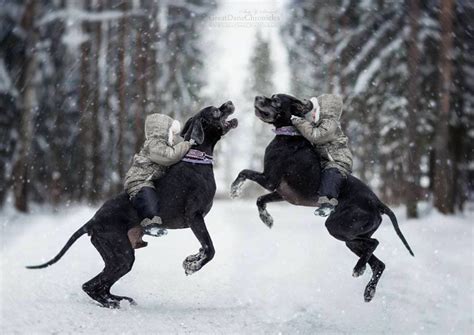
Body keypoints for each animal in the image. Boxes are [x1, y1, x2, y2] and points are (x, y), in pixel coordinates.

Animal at [26, 101, 237, 310]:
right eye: (216, 111)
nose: (229, 103)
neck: (197, 158)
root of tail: (92, 221)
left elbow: (204, 248)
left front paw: (192, 259)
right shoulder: (194, 216)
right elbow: (210, 248)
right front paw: (193, 266)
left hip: (118, 257)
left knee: (101, 286)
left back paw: (119, 300)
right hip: (122, 255)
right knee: (91, 286)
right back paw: (113, 304)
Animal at [231, 93, 412, 304]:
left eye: (275, 100)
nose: (258, 96)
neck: (288, 135)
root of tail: (377, 202)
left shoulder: (269, 180)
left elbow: (244, 172)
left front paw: (234, 189)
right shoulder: (282, 193)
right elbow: (260, 200)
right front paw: (266, 219)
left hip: (338, 227)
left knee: (374, 244)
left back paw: (359, 268)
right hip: (352, 238)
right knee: (378, 263)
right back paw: (368, 290)